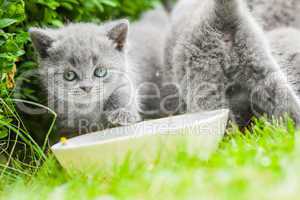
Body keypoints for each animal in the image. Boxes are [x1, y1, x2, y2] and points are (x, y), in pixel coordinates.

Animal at [29, 7, 169, 137]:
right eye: (69, 75)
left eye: (100, 71)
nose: (87, 87)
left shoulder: (126, 78)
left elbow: (123, 92)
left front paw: (122, 113)